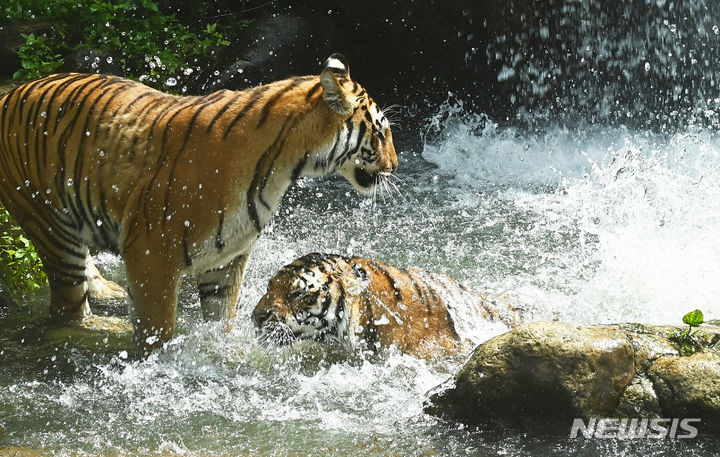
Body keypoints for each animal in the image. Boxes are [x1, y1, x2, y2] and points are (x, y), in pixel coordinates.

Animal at [0, 53, 396, 352]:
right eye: (381, 131)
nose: (394, 164)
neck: (283, 165)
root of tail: (11, 92)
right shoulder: (152, 255)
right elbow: (157, 328)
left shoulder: (227, 257)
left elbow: (222, 319)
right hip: (51, 226)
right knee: (66, 309)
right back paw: (106, 326)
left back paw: (106, 291)